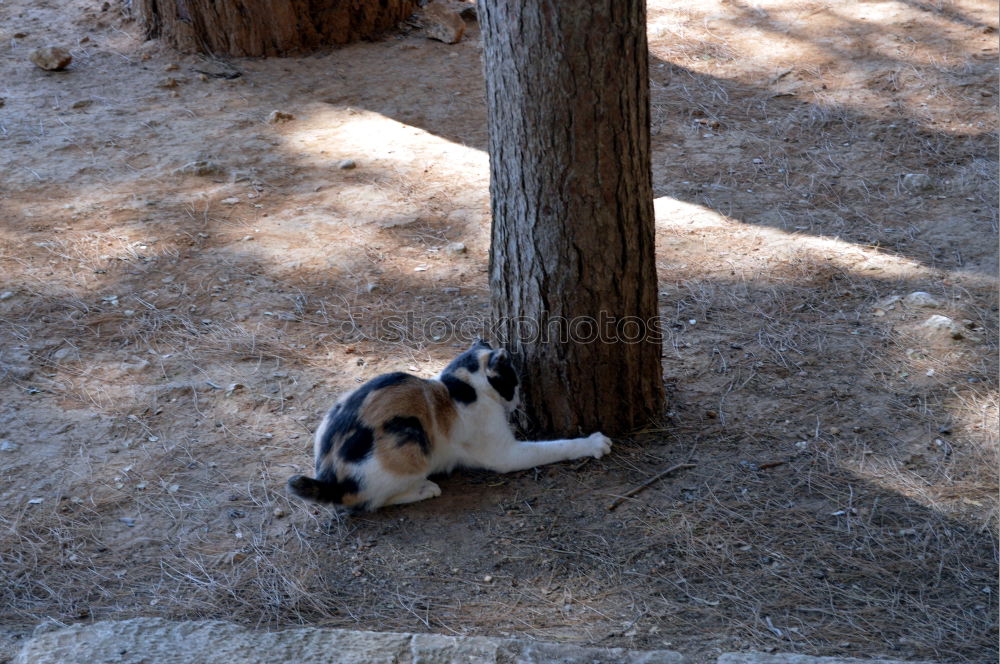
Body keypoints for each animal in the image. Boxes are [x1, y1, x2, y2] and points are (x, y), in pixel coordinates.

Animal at [288, 340, 608, 510]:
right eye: (514, 381)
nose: (518, 398)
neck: (457, 386)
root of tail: (327, 477)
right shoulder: (506, 454)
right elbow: (555, 447)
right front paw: (594, 443)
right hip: (410, 446)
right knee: (369, 501)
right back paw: (424, 490)